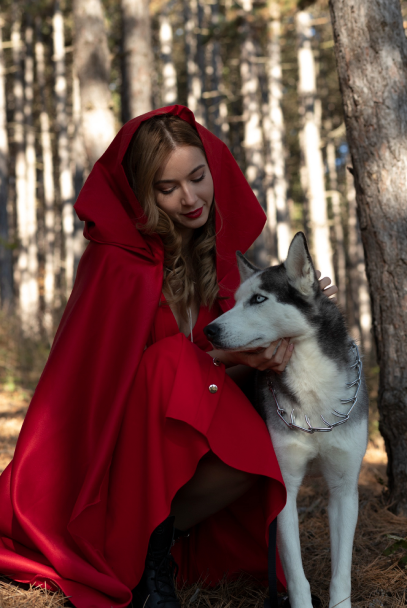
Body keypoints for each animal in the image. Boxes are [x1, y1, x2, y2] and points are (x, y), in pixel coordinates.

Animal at [204, 232, 370, 608]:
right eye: (235, 300)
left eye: (258, 299)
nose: (209, 330)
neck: (314, 389)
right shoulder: (285, 488)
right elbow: (296, 576)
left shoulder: (344, 488)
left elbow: (342, 573)